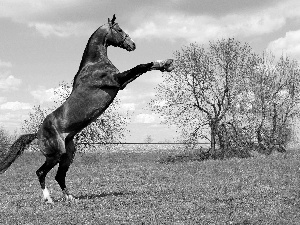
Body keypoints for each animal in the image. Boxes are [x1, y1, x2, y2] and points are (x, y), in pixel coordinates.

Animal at [0, 14, 173, 204]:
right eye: (119, 30)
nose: (133, 45)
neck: (94, 64)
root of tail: (37, 133)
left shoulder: (122, 84)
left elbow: (143, 69)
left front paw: (166, 64)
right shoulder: (117, 81)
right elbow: (141, 66)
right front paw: (166, 63)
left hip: (68, 154)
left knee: (59, 176)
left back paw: (70, 197)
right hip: (55, 154)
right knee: (40, 172)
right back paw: (49, 199)